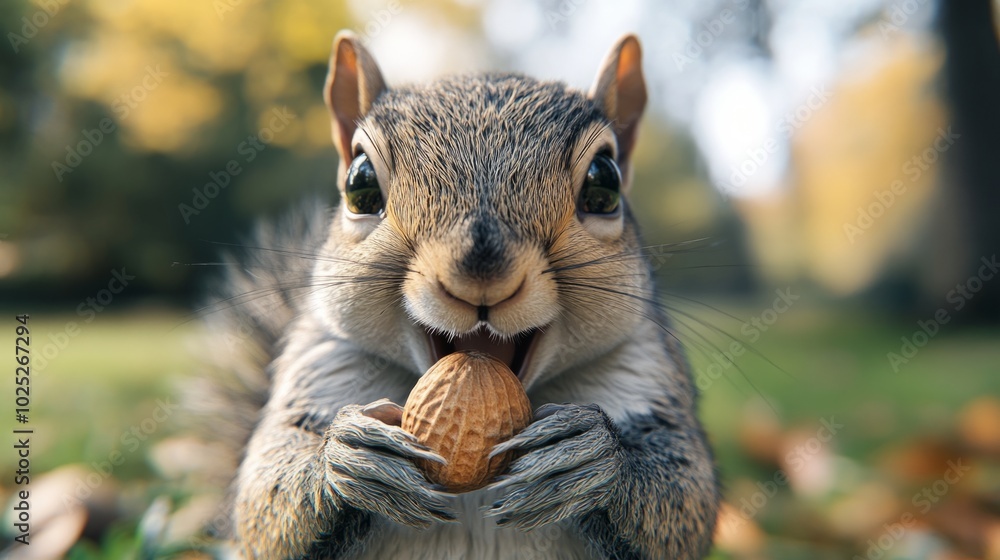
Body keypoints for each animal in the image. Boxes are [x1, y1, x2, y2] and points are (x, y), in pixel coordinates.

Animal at [191, 31, 719, 559]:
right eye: (360, 184)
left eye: (604, 182)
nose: (481, 279)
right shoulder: (322, 364)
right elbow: (263, 498)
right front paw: (346, 458)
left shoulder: (644, 368)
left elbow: (686, 493)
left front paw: (590, 458)